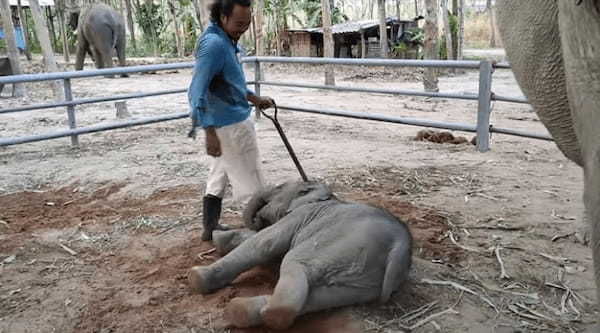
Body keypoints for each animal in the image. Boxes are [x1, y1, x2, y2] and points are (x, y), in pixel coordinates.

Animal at [188, 182, 412, 330]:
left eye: (278, 188)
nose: (258, 217)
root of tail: (400, 245)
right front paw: (219, 238)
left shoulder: (300, 215)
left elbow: (265, 242)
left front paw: (198, 275)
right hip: (365, 280)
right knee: (321, 297)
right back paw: (240, 311)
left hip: (344, 244)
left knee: (293, 263)